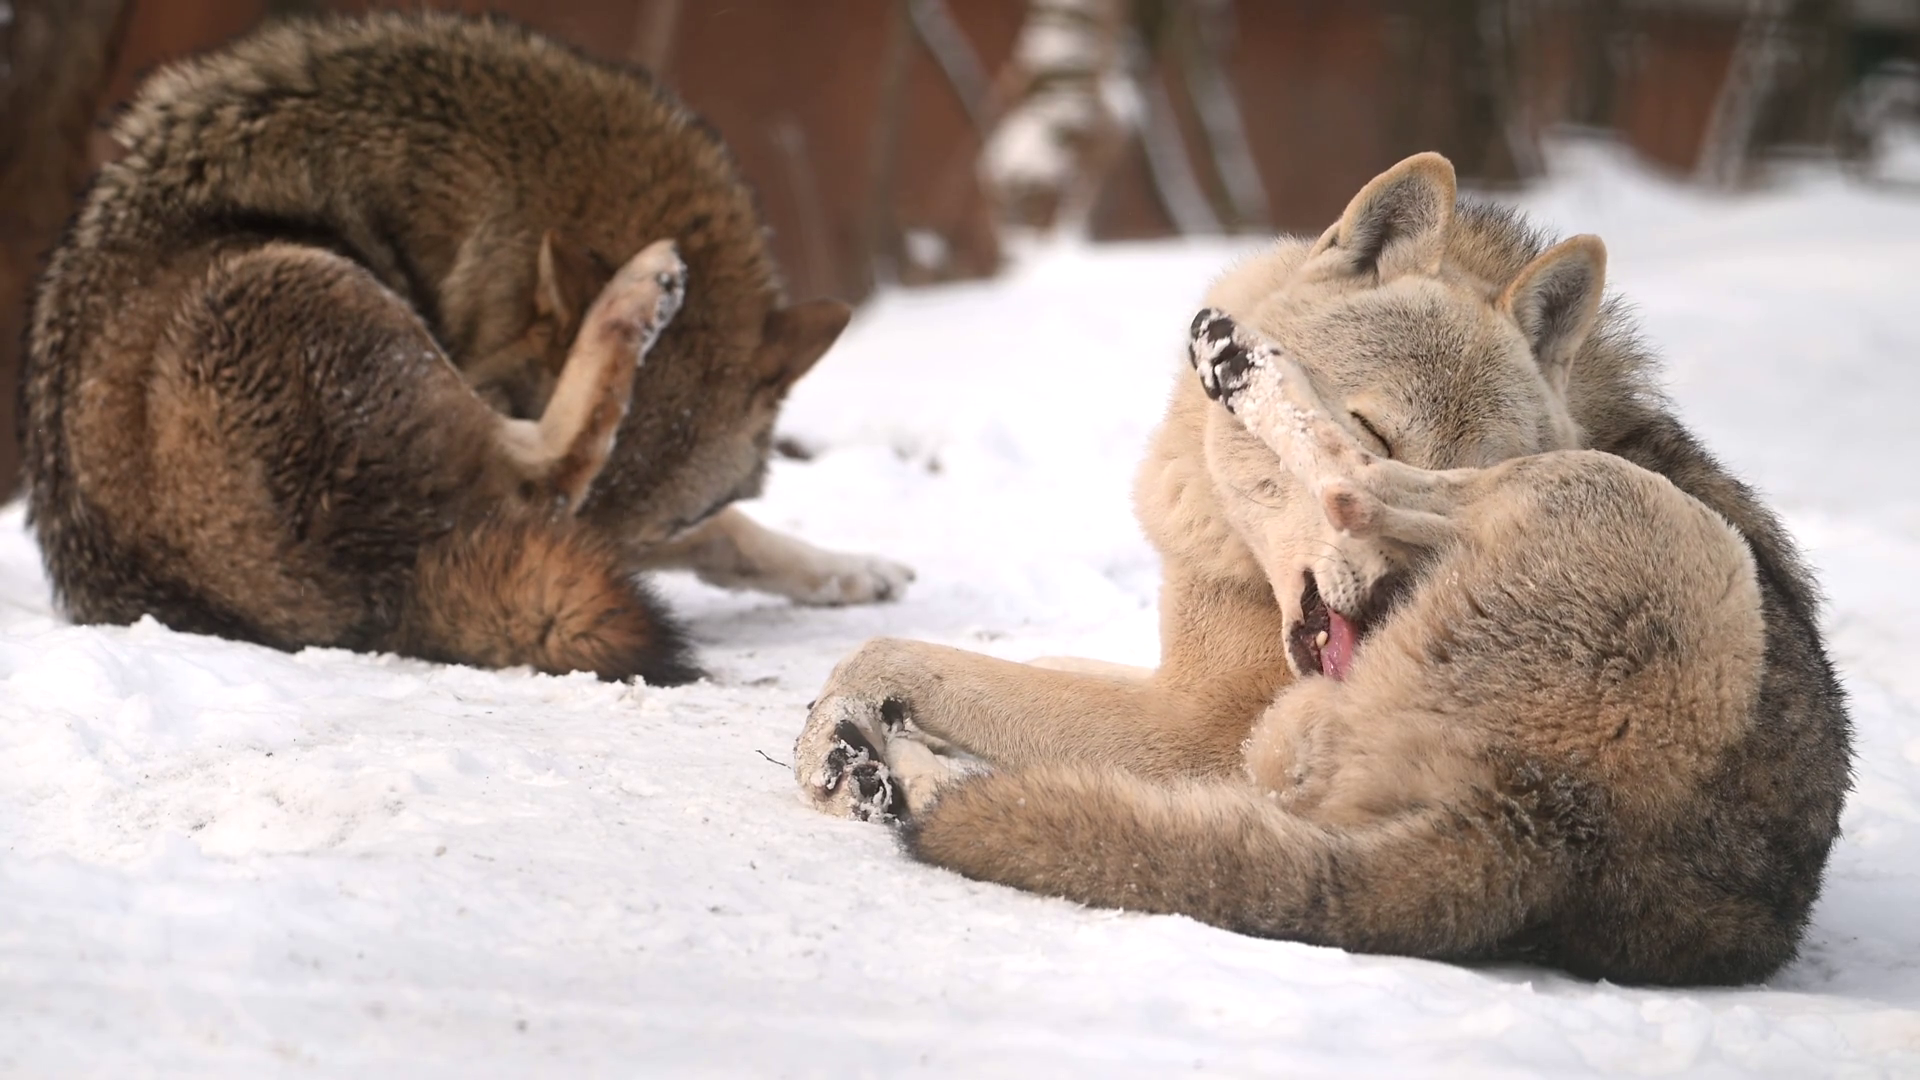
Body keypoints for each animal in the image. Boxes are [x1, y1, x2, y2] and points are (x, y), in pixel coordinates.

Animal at [23, 13, 911, 686]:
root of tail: (388, 592)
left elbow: (728, 532)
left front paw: (855, 570)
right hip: (297, 282)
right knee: (546, 476)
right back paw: (638, 288)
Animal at [791, 153, 1852, 985]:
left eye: (1439, 448)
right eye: (1379, 418)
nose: (1397, 597)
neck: (1233, 550)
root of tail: (1551, 825)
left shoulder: (1189, 728)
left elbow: (899, 656)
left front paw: (843, 733)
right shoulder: (1178, 685)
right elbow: (1006, 673)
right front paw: (852, 744)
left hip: (1580, 492)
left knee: (1350, 495)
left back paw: (1242, 364)